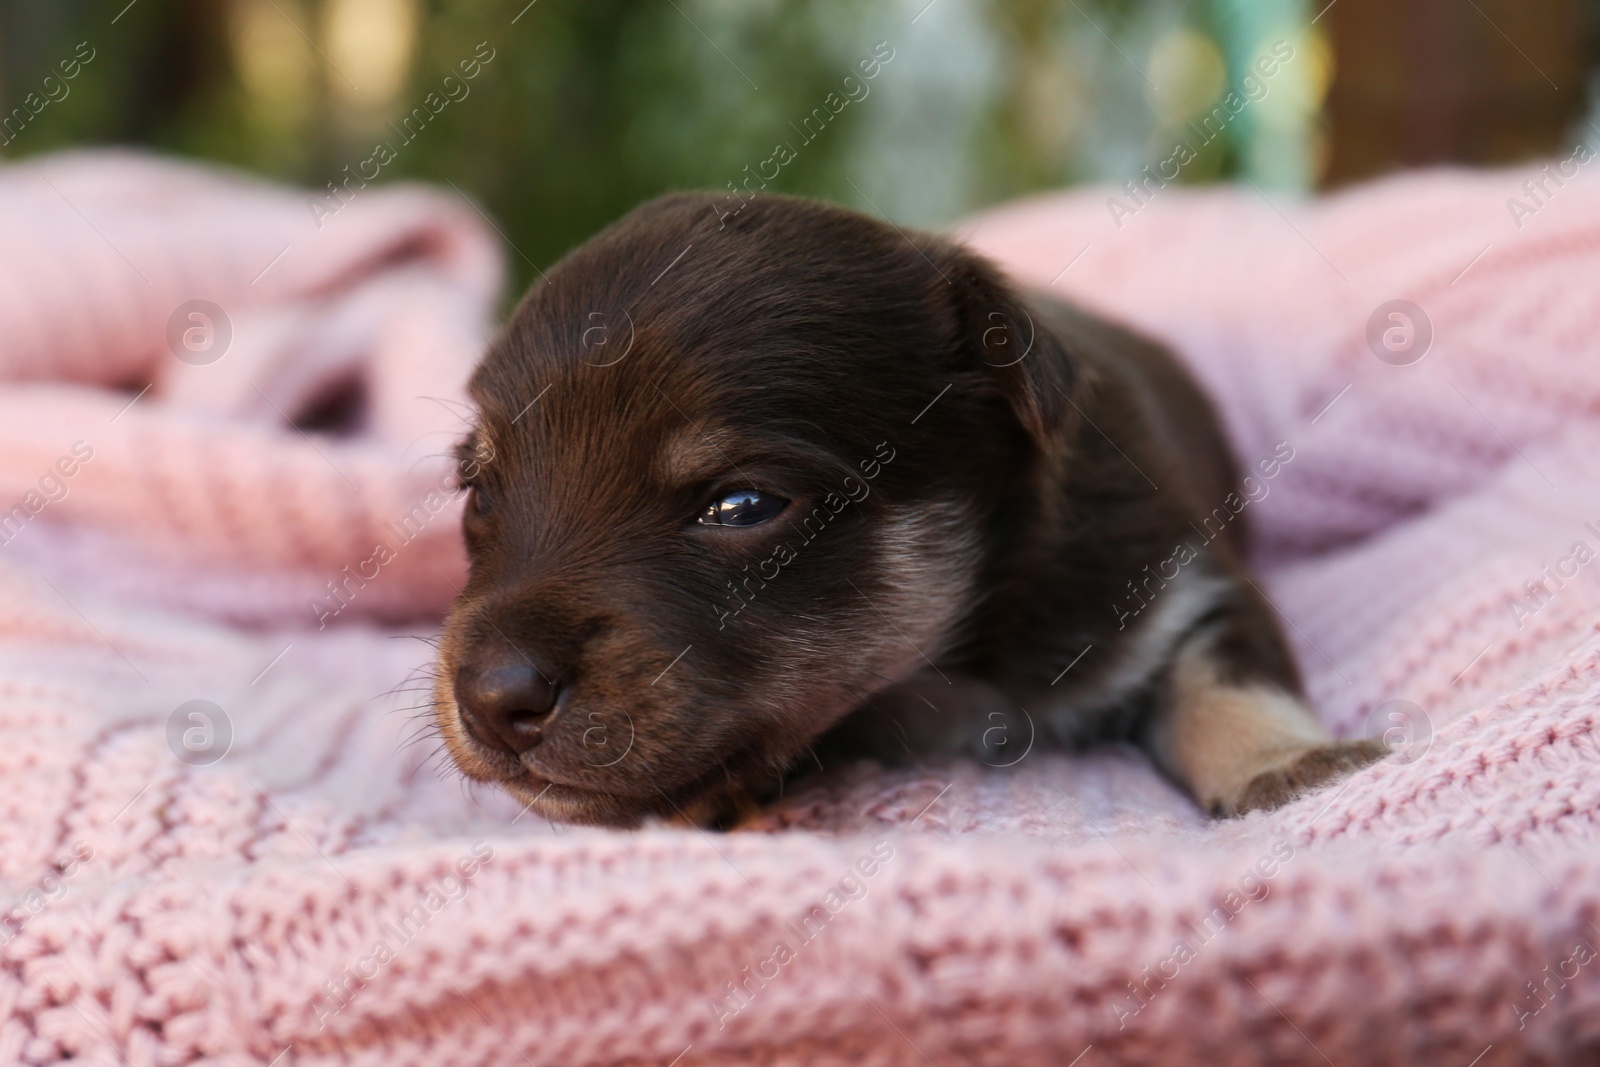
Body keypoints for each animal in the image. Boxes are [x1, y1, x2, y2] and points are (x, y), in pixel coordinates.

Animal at [435, 191, 1388, 825]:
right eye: (480, 491)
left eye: (742, 504)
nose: (490, 696)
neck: (942, 674)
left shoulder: (1181, 582)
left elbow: (1229, 675)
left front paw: (1289, 761)